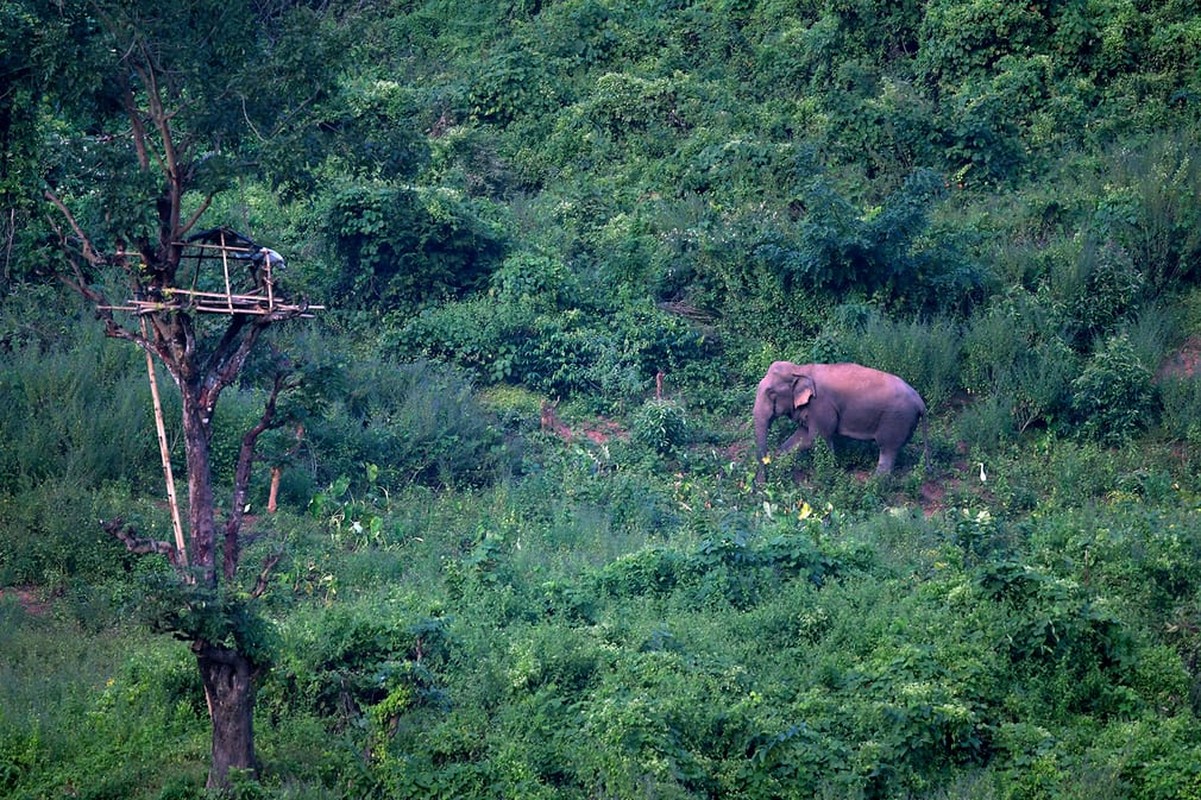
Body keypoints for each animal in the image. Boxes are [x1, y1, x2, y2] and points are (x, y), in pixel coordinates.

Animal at [749, 360, 927, 480]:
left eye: (771, 393)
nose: (761, 484)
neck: (800, 369)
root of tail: (920, 402)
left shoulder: (820, 406)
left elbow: (816, 439)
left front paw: (827, 476)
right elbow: (801, 436)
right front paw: (780, 460)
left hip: (896, 419)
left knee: (887, 449)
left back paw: (874, 483)